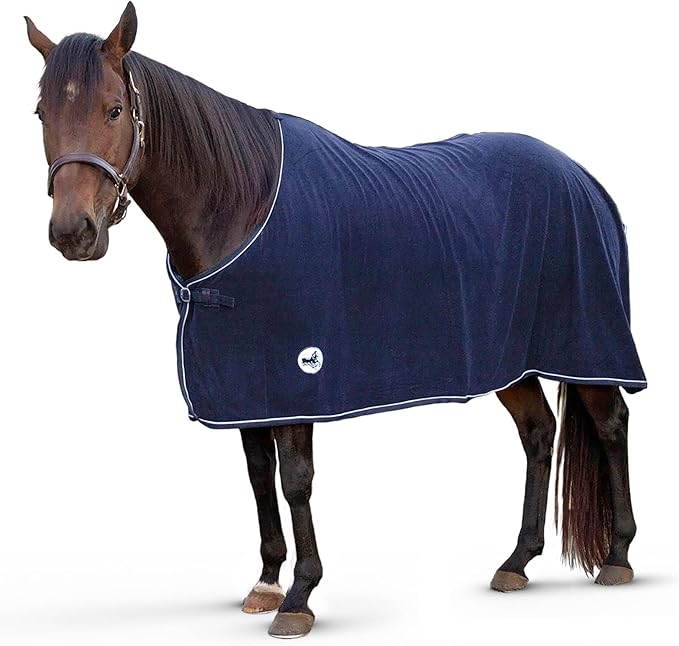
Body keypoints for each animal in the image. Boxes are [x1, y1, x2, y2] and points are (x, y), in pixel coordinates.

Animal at [26, 3, 645, 639]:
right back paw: (517, 561)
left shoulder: (300, 375)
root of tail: (581, 176)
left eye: (114, 109)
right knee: (539, 433)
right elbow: (258, 473)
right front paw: (267, 582)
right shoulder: (246, 383)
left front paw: (300, 597)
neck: (241, 204)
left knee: (611, 423)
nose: (73, 234)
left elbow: (296, 479)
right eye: (42, 112)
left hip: (587, 342)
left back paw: (618, 556)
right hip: (511, 360)